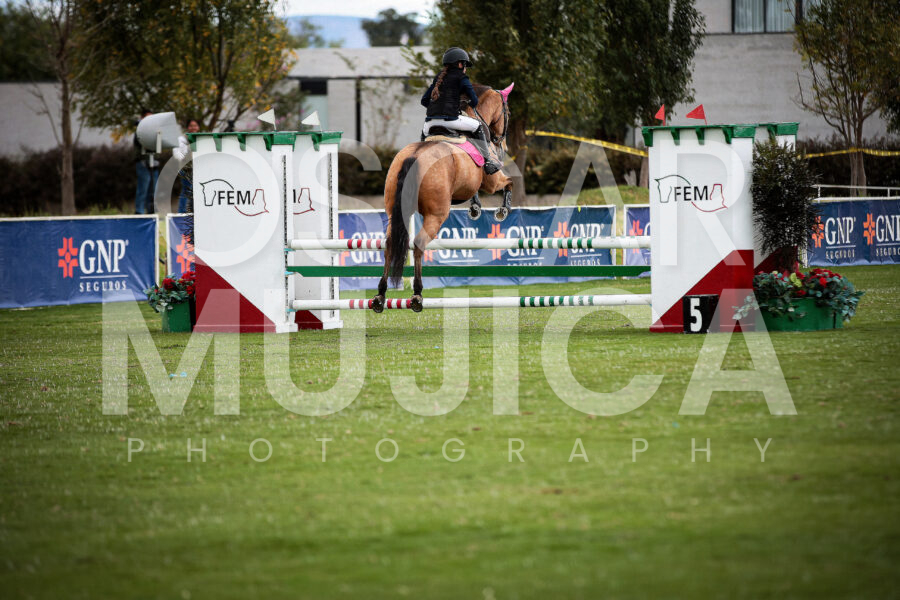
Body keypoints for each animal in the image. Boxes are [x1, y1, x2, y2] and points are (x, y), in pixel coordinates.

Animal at [372, 83, 514, 313]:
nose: (503, 145)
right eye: (507, 112)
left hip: (394, 211)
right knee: (419, 244)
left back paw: (380, 295)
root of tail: (414, 156)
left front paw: (475, 208)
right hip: (436, 214)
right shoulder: (491, 181)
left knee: (390, 245)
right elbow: (509, 182)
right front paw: (502, 210)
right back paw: (417, 294)